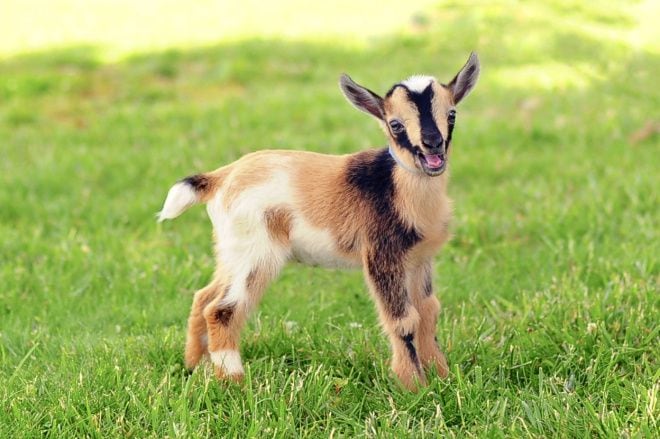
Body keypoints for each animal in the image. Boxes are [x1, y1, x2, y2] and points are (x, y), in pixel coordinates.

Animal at [158, 53, 480, 390]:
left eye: (452, 115)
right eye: (395, 124)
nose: (433, 143)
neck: (397, 186)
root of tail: (220, 177)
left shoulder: (419, 259)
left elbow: (429, 312)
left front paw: (442, 377)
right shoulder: (382, 255)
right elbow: (403, 319)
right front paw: (414, 386)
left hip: (232, 250)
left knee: (203, 296)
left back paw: (194, 365)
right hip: (257, 251)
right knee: (222, 309)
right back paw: (235, 381)